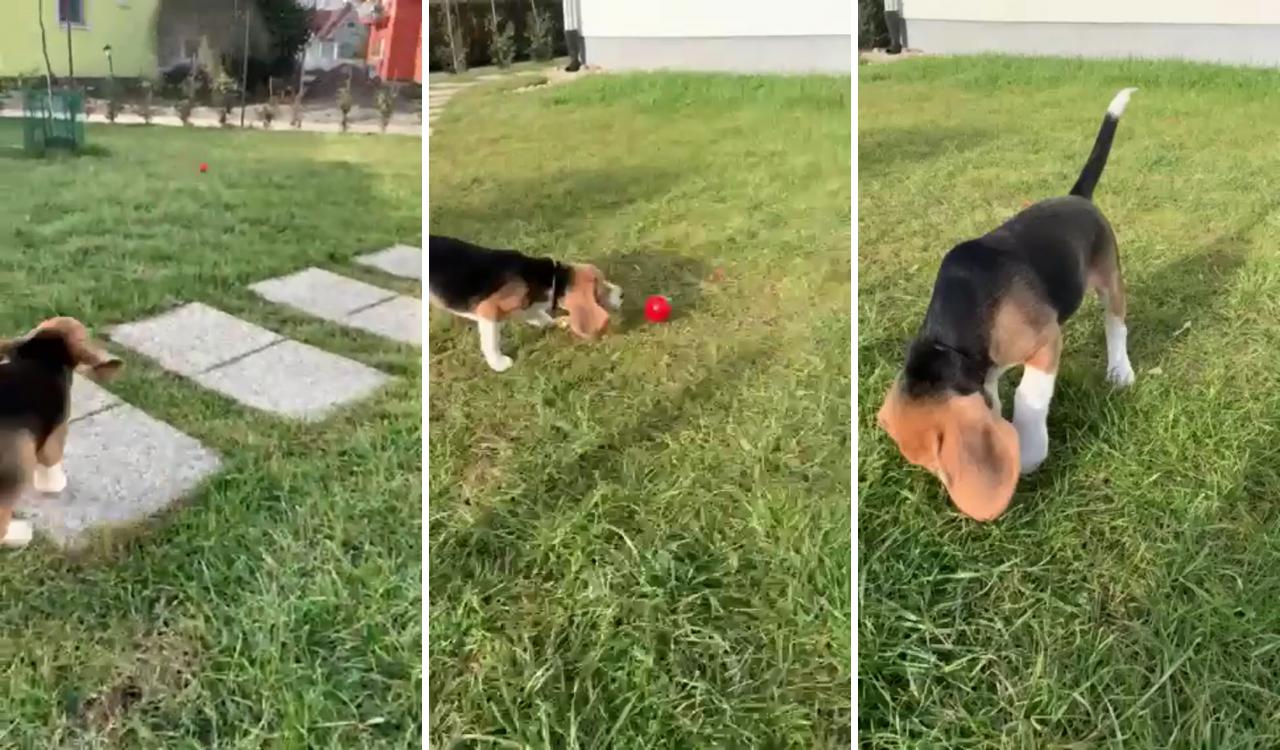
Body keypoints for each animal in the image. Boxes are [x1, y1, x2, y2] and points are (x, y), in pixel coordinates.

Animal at [430, 232, 624, 371]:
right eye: (601, 284)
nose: (622, 294)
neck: (552, 279)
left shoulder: (525, 305)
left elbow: (538, 315)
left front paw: (556, 322)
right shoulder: (488, 308)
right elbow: (491, 340)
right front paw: (498, 363)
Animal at [880, 87, 1141, 519]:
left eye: (939, 466)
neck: (950, 343)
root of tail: (1077, 197)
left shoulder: (1046, 339)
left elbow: (1028, 396)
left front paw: (1030, 451)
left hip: (1110, 277)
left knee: (1115, 323)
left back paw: (1120, 369)